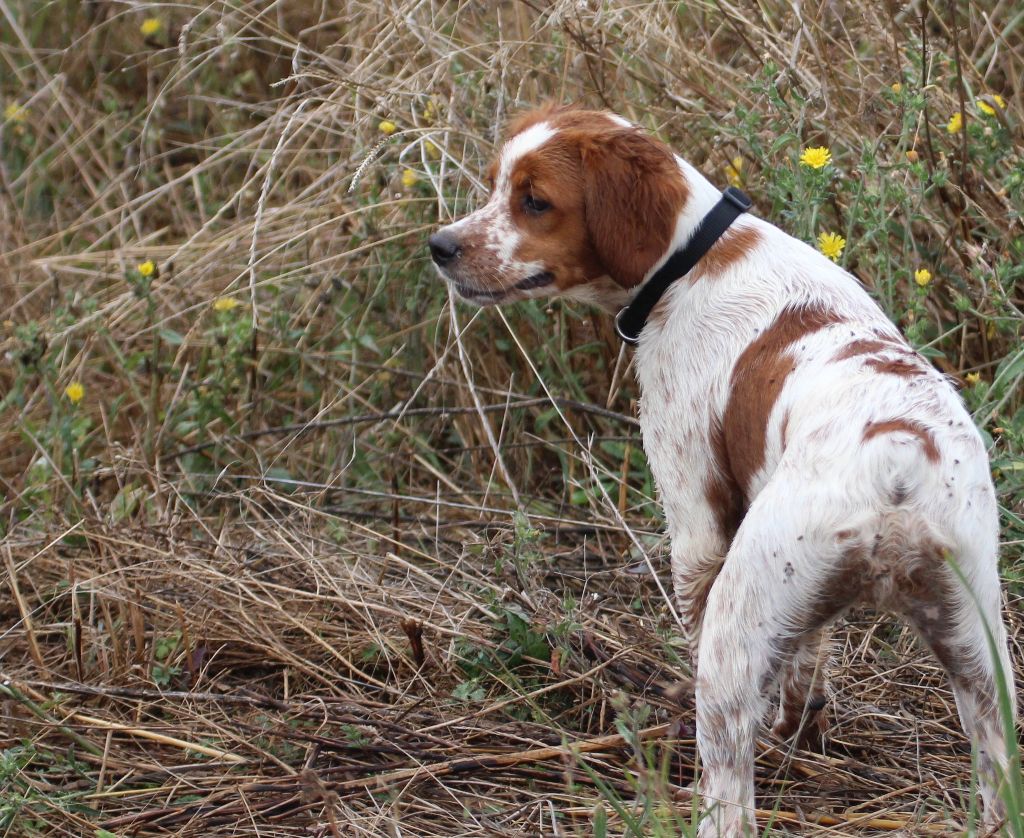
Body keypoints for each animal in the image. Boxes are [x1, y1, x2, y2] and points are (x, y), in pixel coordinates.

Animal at [425, 106, 1015, 835]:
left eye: (535, 201)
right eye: (495, 185)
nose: (441, 245)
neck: (691, 261)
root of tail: (895, 456)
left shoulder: (697, 525)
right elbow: (809, 660)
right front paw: (802, 727)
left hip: (740, 625)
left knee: (730, 792)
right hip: (979, 649)